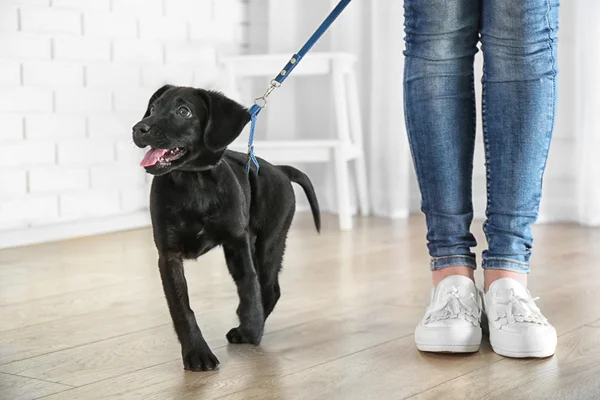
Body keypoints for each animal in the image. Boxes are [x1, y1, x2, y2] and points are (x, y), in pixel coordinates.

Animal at [130, 85, 318, 372]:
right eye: (152, 109)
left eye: (183, 111)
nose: (139, 128)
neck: (193, 182)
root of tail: (280, 169)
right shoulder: (168, 256)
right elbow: (181, 307)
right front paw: (197, 353)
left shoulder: (237, 243)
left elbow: (249, 286)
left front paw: (252, 329)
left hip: (270, 241)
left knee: (268, 287)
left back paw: (251, 325)